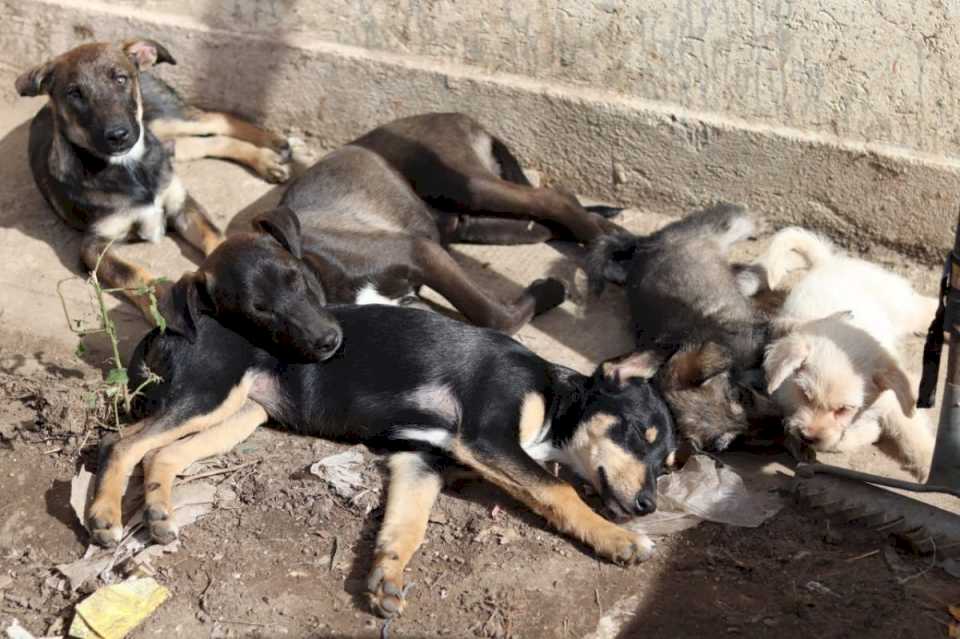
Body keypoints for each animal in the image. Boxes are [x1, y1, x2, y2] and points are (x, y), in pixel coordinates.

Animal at [15, 39, 290, 318]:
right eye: (74, 93)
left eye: (120, 79)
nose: (118, 135)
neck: (131, 168)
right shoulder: (94, 246)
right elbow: (132, 275)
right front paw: (166, 307)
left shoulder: (182, 205)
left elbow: (215, 238)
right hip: (168, 139)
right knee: (210, 141)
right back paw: (267, 159)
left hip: (162, 119)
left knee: (217, 119)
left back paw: (273, 144)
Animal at [88, 232, 676, 616]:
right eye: (636, 433)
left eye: (666, 465)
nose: (649, 506)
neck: (555, 396)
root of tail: (172, 323)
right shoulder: (486, 437)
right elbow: (558, 490)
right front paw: (618, 541)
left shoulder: (423, 459)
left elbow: (405, 526)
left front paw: (387, 576)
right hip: (209, 393)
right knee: (122, 443)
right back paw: (103, 516)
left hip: (241, 413)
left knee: (161, 452)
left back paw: (160, 512)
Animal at [752, 228, 936, 478]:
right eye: (805, 395)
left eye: (843, 409)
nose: (808, 436)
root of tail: (826, 262)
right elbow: (834, 439)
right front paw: (867, 431)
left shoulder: (897, 398)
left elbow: (913, 433)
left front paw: (929, 461)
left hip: (903, 306)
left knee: (927, 307)